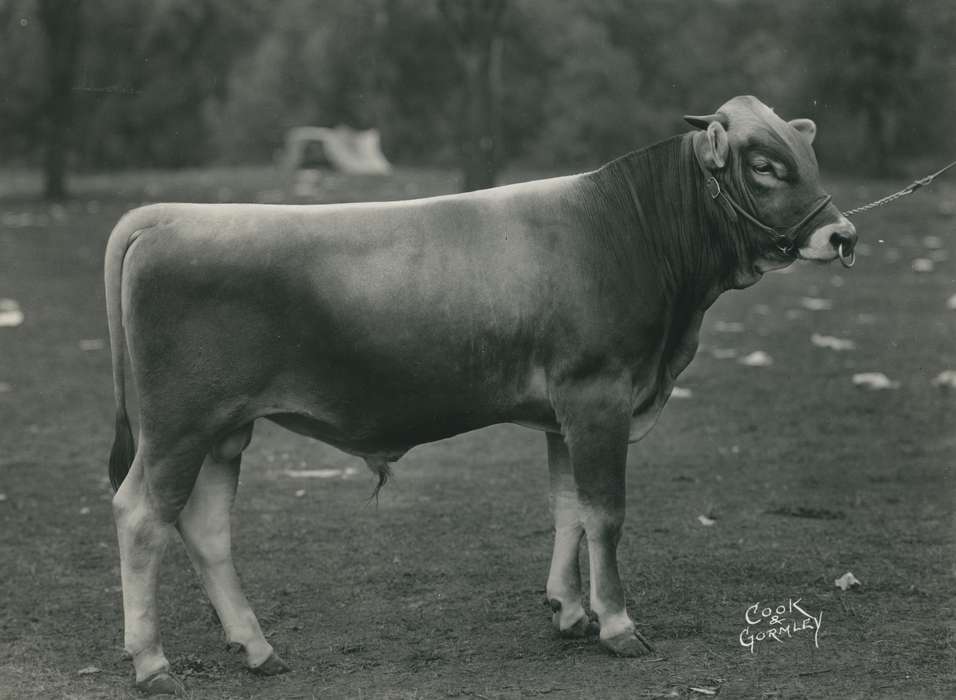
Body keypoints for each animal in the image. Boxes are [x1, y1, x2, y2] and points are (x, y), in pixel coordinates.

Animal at [105, 96, 856, 695]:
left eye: (807, 156)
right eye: (764, 166)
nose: (843, 235)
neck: (626, 230)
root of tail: (167, 215)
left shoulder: (564, 412)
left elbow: (567, 508)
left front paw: (569, 610)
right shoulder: (598, 393)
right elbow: (605, 513)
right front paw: (617, 624)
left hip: (223, 430)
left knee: (205, 527)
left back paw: (258, 648)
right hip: (179, 426)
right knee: (142, 516)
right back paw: (152, 663)